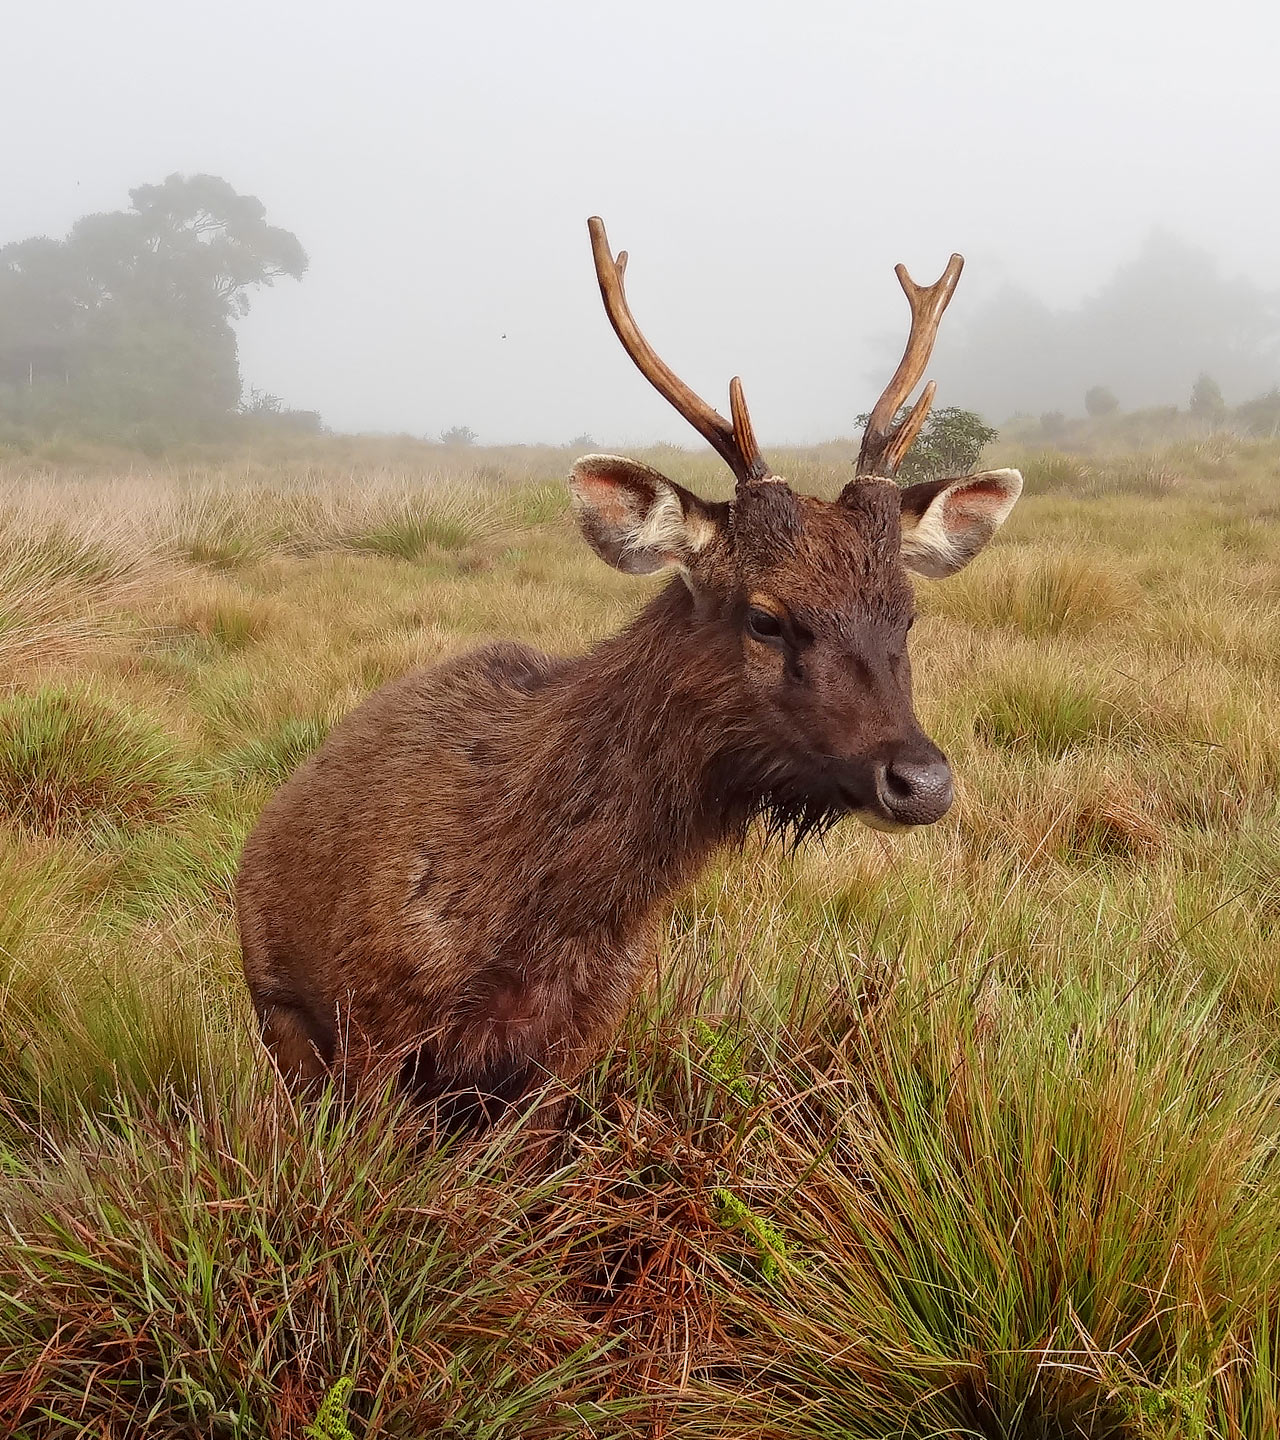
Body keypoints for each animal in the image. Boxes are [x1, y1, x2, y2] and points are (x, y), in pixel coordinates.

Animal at [234, 218, 1025, 1128]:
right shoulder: (368, 1022)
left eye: (908, 613)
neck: (542, 918)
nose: (921, 781)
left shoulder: (578, 1042)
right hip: (277, 1015)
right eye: (765, 616)